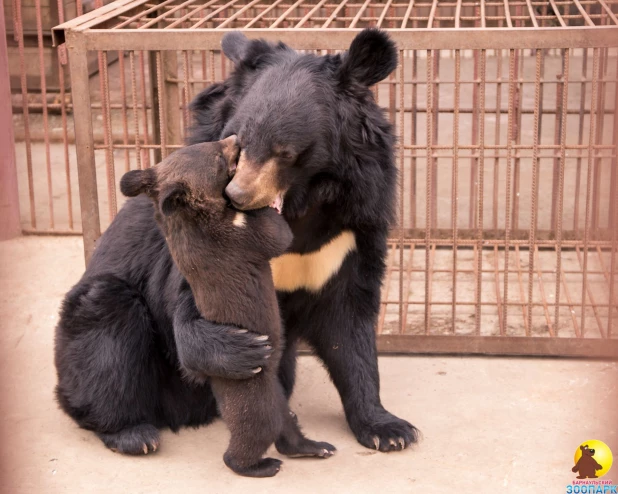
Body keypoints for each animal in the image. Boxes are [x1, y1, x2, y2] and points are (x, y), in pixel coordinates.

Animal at [188, 28, 416, 452]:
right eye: (237, 140)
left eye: (286, 152)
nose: (238, 195)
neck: (302, 201)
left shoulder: (354, 228)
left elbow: (349, 324)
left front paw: (389, 430)